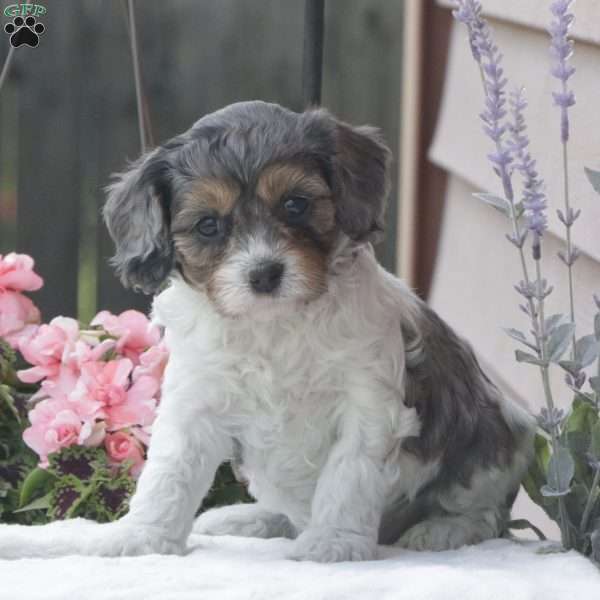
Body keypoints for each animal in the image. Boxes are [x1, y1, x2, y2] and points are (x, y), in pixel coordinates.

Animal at [0, 101, 536, 560]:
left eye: (296, 204)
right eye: (209, 226)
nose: (264, 273)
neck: (275, 324)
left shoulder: (367, 404)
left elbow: (348, 477)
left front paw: (333, 544)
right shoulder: (195, 403)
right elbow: (169, 476)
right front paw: (142, 538)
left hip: (493, 447)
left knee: (485, 514)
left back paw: (441, 529)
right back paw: (248, 519)